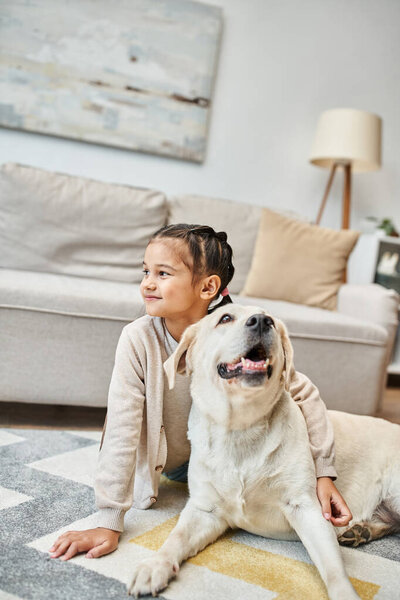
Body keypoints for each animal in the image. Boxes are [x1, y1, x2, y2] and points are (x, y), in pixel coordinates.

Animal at [128, 304, 400, 600]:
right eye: (225, 318)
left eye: (271, 320)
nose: (261, 321)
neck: (241, 427)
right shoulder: (205, 509)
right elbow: (175, 538)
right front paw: (155, 565)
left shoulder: (307, 507)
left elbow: (333, 568)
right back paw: (361, 531)